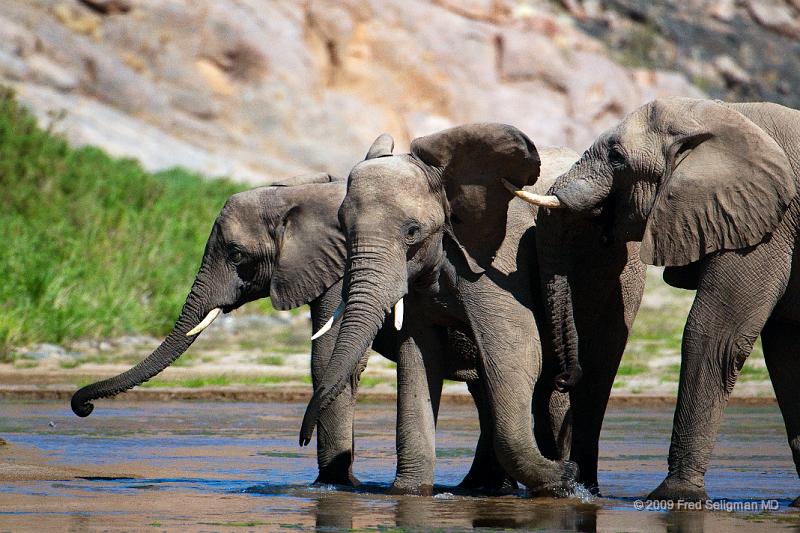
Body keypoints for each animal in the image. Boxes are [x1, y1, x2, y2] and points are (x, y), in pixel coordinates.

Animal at [72, 174, 516, 490]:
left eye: (236, 255)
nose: (83, 406)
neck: (301, 192)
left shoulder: (338, 272)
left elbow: (326, 361)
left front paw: (334, 485)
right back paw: (481, 490)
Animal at [300, 121, 588, 494]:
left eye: (412, 231)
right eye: (344, 230)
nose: (303, 439)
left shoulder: (499, 261)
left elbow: (517, 355)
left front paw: (564, 480)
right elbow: (418, 358)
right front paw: (409, 493)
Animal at [512, 96, 800, 508]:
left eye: (617, 158)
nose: (565, 378)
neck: (725, 113)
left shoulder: (765, 227)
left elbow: (715, 335)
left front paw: (674, 498)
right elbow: (786, 355)